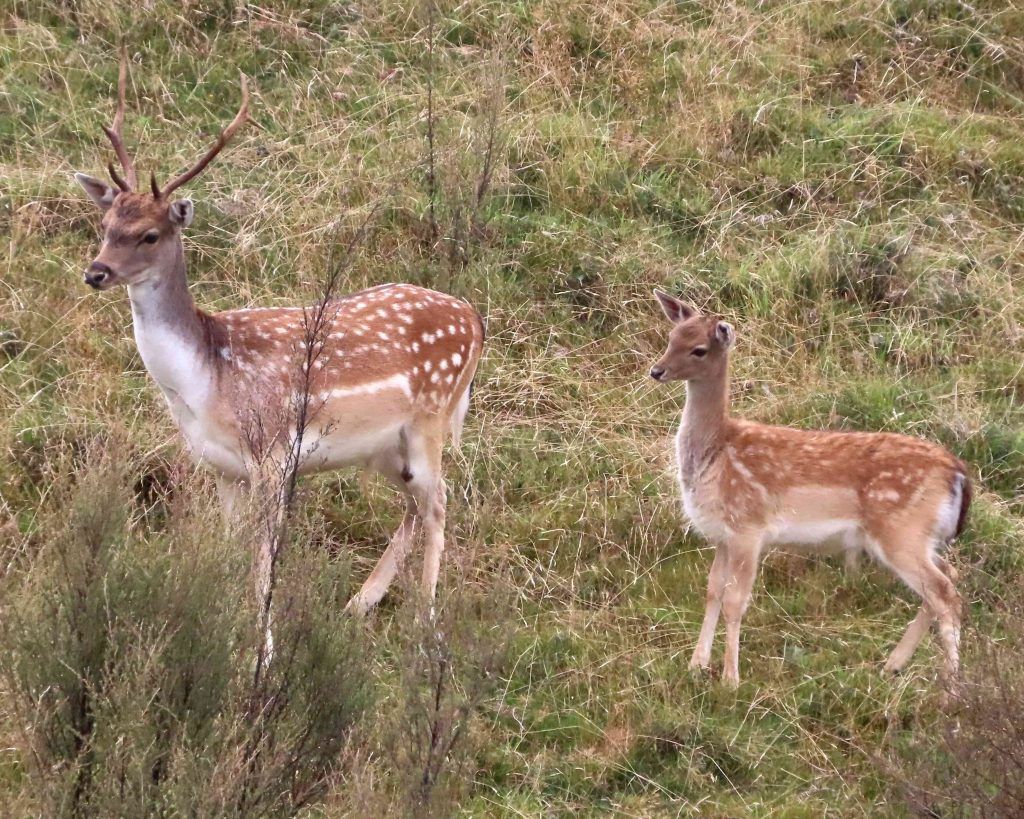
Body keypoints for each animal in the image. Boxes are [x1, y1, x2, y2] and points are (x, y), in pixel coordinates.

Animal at [74, 56, 485, 659]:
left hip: (431, 416)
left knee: (438, 503)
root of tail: (475, 320)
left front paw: (261, 651)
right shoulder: (220, 468)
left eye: (149, 234)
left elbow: (264, 561)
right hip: (386, 446)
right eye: (105, 226)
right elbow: (230, 554)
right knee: (415, 504)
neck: (205, 381)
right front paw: (224, 632)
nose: (96, 272)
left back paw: (423, 623)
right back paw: (359, 602)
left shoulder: (271, 456)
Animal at [647, 290, 966, 687]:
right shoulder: (722, 535)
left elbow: (736, 601)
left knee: (944, 592)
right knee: (948, 579)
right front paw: (697, 665)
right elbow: (712, 592)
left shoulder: (749, 527)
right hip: (922, 537)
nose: (656, 370)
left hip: (900, 531)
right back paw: (893, 664)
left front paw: (730, 679)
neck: (715, 455)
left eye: (699, 349)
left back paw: (951, 683)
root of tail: (956, 472)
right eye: (671, 337)